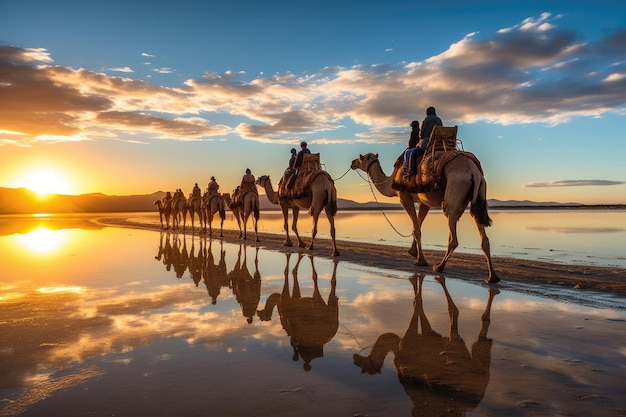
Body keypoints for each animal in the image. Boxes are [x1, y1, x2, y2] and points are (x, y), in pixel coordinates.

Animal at [348, 151, 500, 284]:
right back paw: (492, 277)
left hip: (454, 192)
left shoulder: (404, 197)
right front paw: (413, 252)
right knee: (482, 235)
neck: (391, 181)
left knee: (453, 234)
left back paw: (439, 267)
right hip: (478, 195)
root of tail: (474, 172)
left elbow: (416, 229)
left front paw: (420, 260)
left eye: (361, 157)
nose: (352, 163)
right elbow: (418, 227)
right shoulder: (424, 202)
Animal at [356, 274, 498, 414]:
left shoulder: (410, 338)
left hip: (456, 355)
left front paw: (415, 280)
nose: (355, 357)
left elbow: (417, 305)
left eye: (364, 363)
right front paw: (415, 279)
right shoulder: (425, 337)